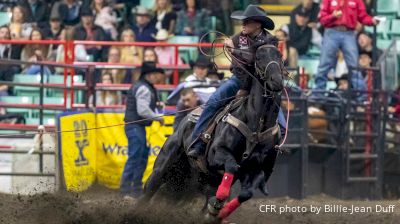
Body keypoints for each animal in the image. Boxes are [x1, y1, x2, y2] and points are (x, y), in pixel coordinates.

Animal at [144, 43, 284, 222]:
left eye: (280, 56)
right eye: (258, 58)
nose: (277, 81)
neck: (256, 124)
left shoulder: (258, 170)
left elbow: (246, 193)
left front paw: (217, 212)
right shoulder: (216, 154)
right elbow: (231, 166)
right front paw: (218, 201)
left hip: (194, 179)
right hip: (163, 166)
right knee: (148, 190)